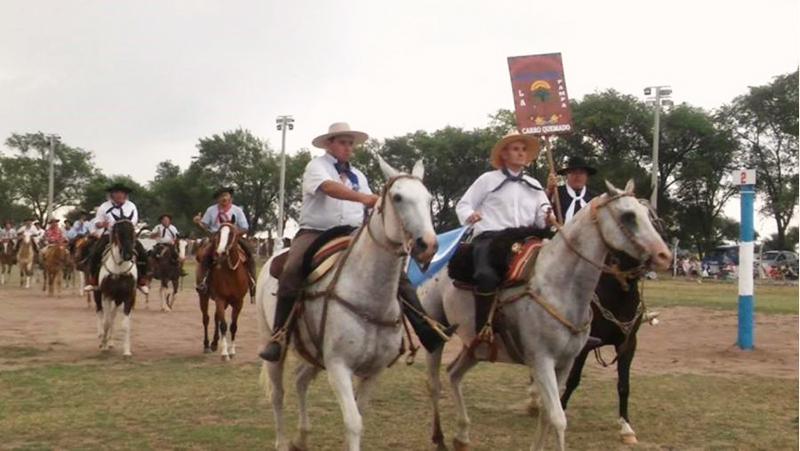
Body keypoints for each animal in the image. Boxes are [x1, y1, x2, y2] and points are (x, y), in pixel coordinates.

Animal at [197, 224, 247, 362]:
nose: (220, 253)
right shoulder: (220, 299)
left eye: (232, 234)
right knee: (206, 318)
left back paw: (214, 343)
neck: (232, 274)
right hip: (203, 297)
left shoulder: (239, 302)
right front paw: (225, 354)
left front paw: (232, 351)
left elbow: (233, 326)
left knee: (216, 318)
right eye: (218, 234)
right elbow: (224, 325)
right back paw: (206, 345)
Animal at [258, 158, 438, 451]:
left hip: (311, 351)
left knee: (299, 380)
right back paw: (282, 442)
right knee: (277, 392)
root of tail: (276, 254)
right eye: (398, 197)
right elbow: (353, 422)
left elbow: (359, 415)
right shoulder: (338, 366)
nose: (428, 245)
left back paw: (301, 437)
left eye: (429, 198)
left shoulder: (373, 372)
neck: (370, 297)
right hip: (271, 341)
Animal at [422, 181, 672, 451]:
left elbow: (548, 412)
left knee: (453, 374)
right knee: (434, 384)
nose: (664, 256)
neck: (558, 287)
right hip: (435, 335)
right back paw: (439, 438)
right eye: (628, 215)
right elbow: (558, 417)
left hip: (475, 347)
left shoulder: (570, 360)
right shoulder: (542, 360)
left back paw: (462, 436)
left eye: (652, 217)